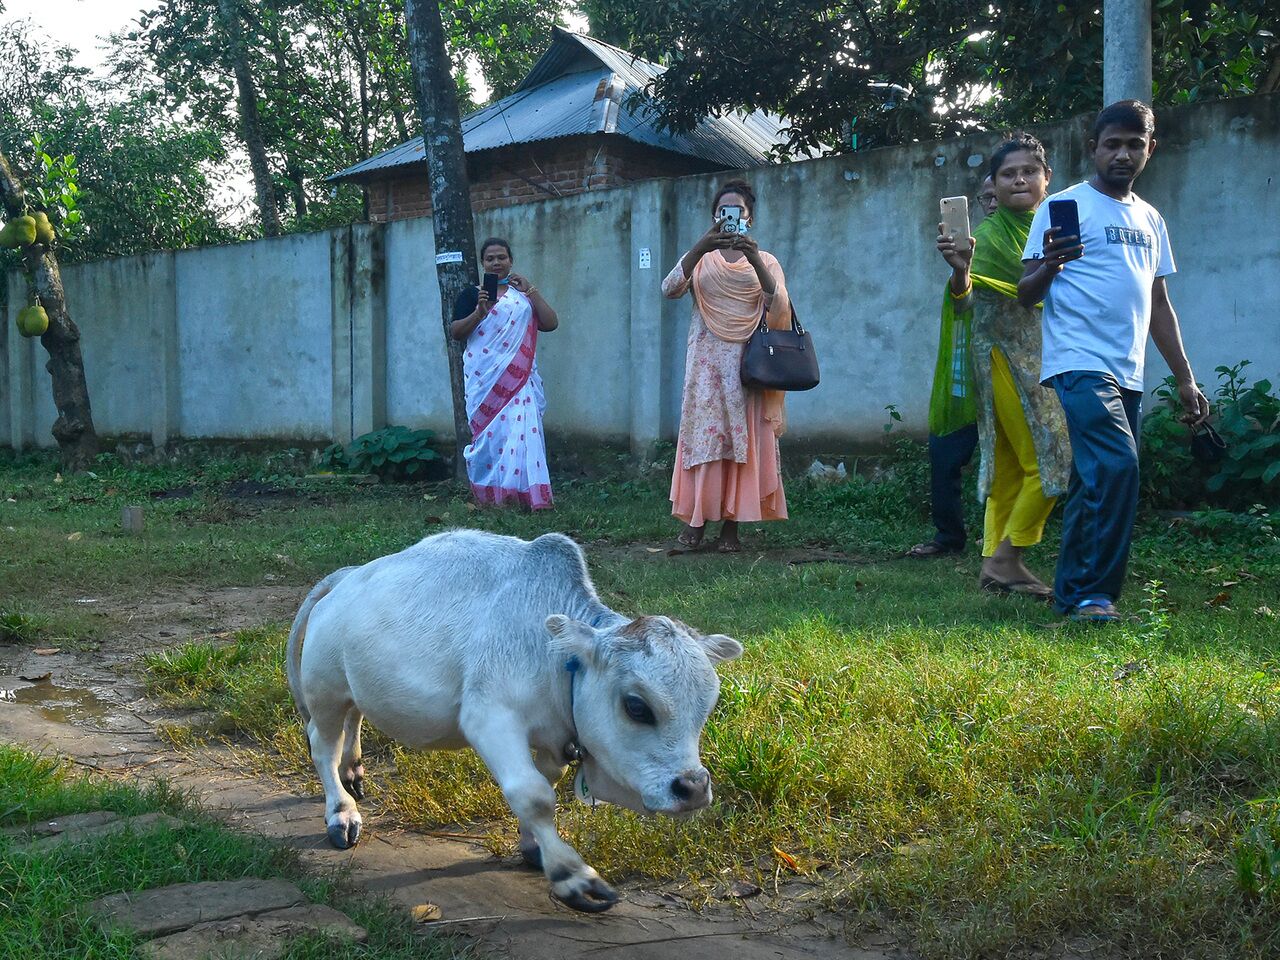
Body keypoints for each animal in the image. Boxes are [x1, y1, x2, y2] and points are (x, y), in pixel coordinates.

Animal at [282, 529, 742, 911]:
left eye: (709, 703)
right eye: (636, 706)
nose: (693, 789)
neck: (555, 659)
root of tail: (346, 577)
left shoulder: (555, 740)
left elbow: (546, 787)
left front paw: (535, 847)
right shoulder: (490, 719)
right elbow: (533, 794)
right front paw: (573, 875)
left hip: (352, 688)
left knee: (353, 721)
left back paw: (354, 772)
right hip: (324, 692)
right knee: (323, 745)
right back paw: (341, 811)